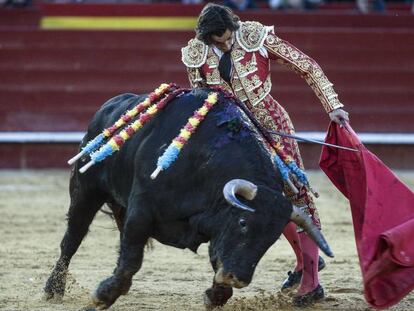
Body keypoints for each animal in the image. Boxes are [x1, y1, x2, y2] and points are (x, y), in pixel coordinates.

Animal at [43, 87, 332, 310]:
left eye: (271, 239)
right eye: (243, 223)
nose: (237, 278)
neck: (204, 162)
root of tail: (109, 107)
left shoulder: (215, 229)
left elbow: (216, 260)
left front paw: (215, 295)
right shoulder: (142, 210)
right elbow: (131, 260)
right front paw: (102, 296)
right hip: (85, 190)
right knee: (72, 239)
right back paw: (53, 288)